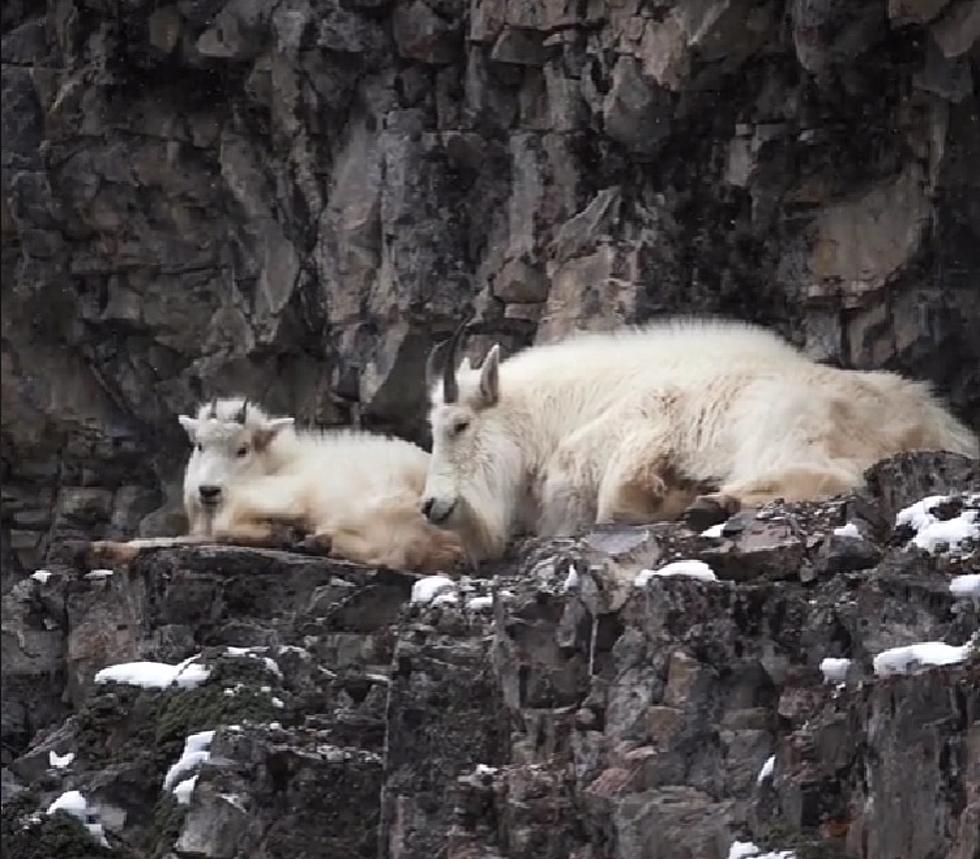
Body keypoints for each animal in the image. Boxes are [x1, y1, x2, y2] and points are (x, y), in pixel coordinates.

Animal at [88, 400, 464, 576]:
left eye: (242, 449)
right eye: (200, 446)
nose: (207, 491)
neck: (278, 462)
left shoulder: (279, 495)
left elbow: (223, 528)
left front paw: (280, 533)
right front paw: (102, 548)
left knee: (390, 552)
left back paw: (311, 540)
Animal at [424, 320, 980, 560]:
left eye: (459, 425)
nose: (432, 507)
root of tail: (937, 426)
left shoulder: (644, 429)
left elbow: (617, 502)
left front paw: (679, 492)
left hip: (777, 421)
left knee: (832, 476)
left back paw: (714, 501)